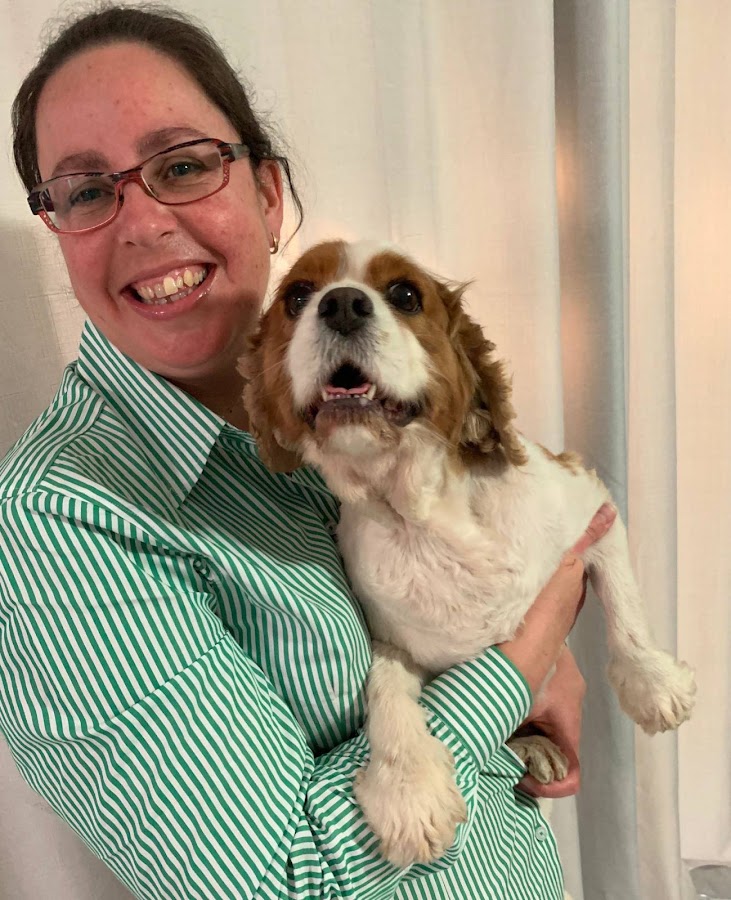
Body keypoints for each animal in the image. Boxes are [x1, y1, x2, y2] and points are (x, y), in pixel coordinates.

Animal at [242, 239, 696, 867]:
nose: (341, 305)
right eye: (298, 296)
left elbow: (623, 605)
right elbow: (384, 688)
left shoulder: (593, 504)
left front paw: (653, 683)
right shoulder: (392, 642)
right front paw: (408, 789)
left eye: (406, 294)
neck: (425, 516)